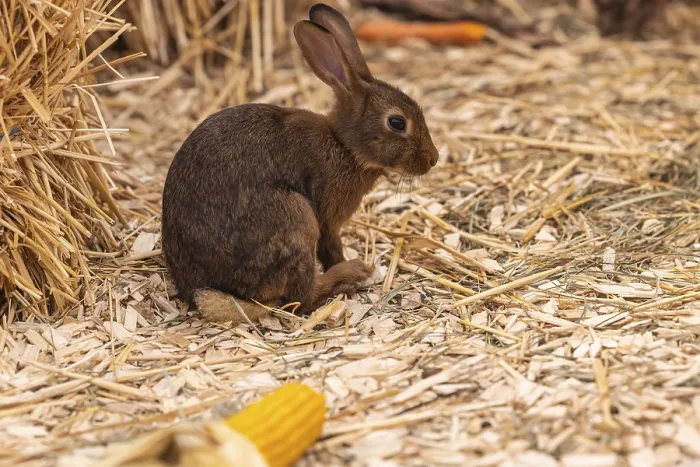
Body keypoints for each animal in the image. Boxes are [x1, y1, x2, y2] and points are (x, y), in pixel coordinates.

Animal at [161, 3, 439, 326]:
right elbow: (332, 246)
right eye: (396, 122)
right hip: (295, 218)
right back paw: (350, 275)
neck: (344, 146)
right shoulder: (327, 216)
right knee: (302, 297)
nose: (433, 159)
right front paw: (348, 265)